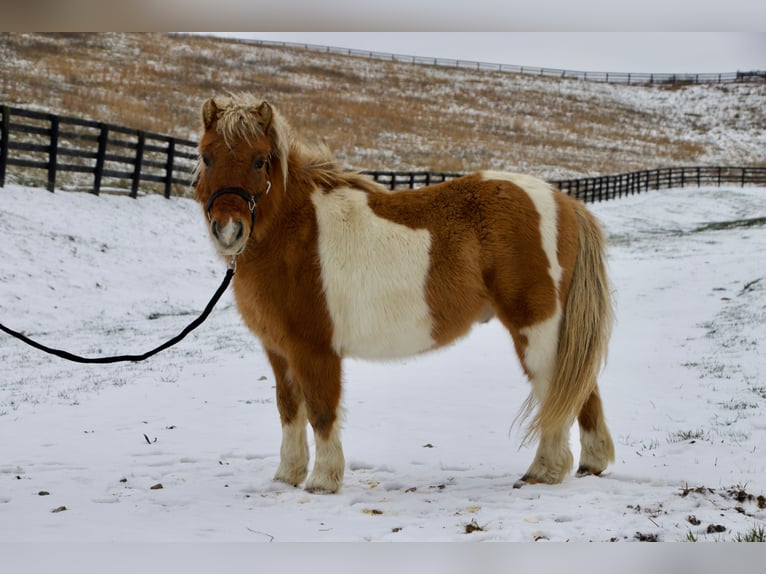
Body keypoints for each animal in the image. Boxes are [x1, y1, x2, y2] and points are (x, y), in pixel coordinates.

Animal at [194, 93, 615, 493]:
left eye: (260, 161)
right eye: (206, 156)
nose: (229, 230)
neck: (295, 232)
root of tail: (565, 201)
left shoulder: (314, 350)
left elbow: (321, 410)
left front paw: (322, 481)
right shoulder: (279, 351)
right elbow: (289, 408)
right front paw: (287, 475)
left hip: (537, 328)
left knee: (556, 390)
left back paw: (544, 471)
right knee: (582, 391)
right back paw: (590, 464)